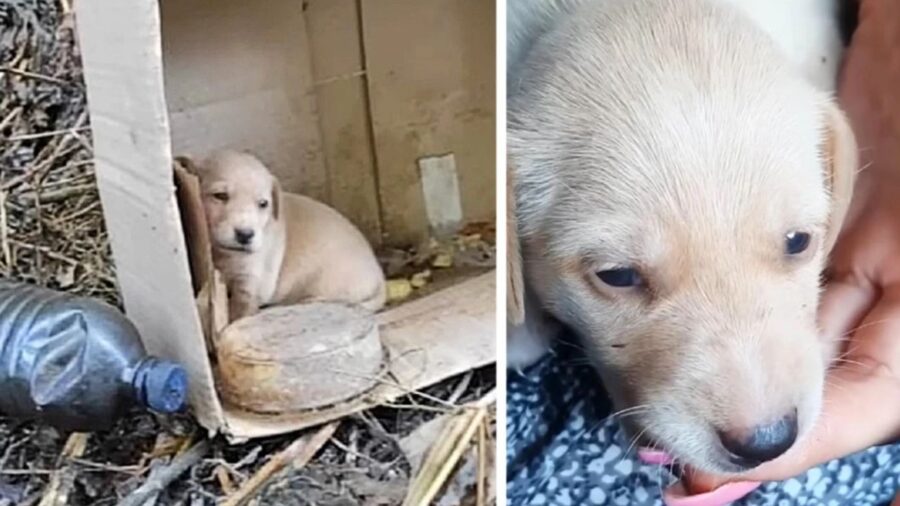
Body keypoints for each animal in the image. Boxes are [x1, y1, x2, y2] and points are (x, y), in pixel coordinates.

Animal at [181, 148, 384, 320]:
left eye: (263, 204)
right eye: (220, 195)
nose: (245, 235)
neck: (225, 254)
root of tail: (379, 275)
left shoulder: (251, 280)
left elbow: (241, 309)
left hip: (329, 284)